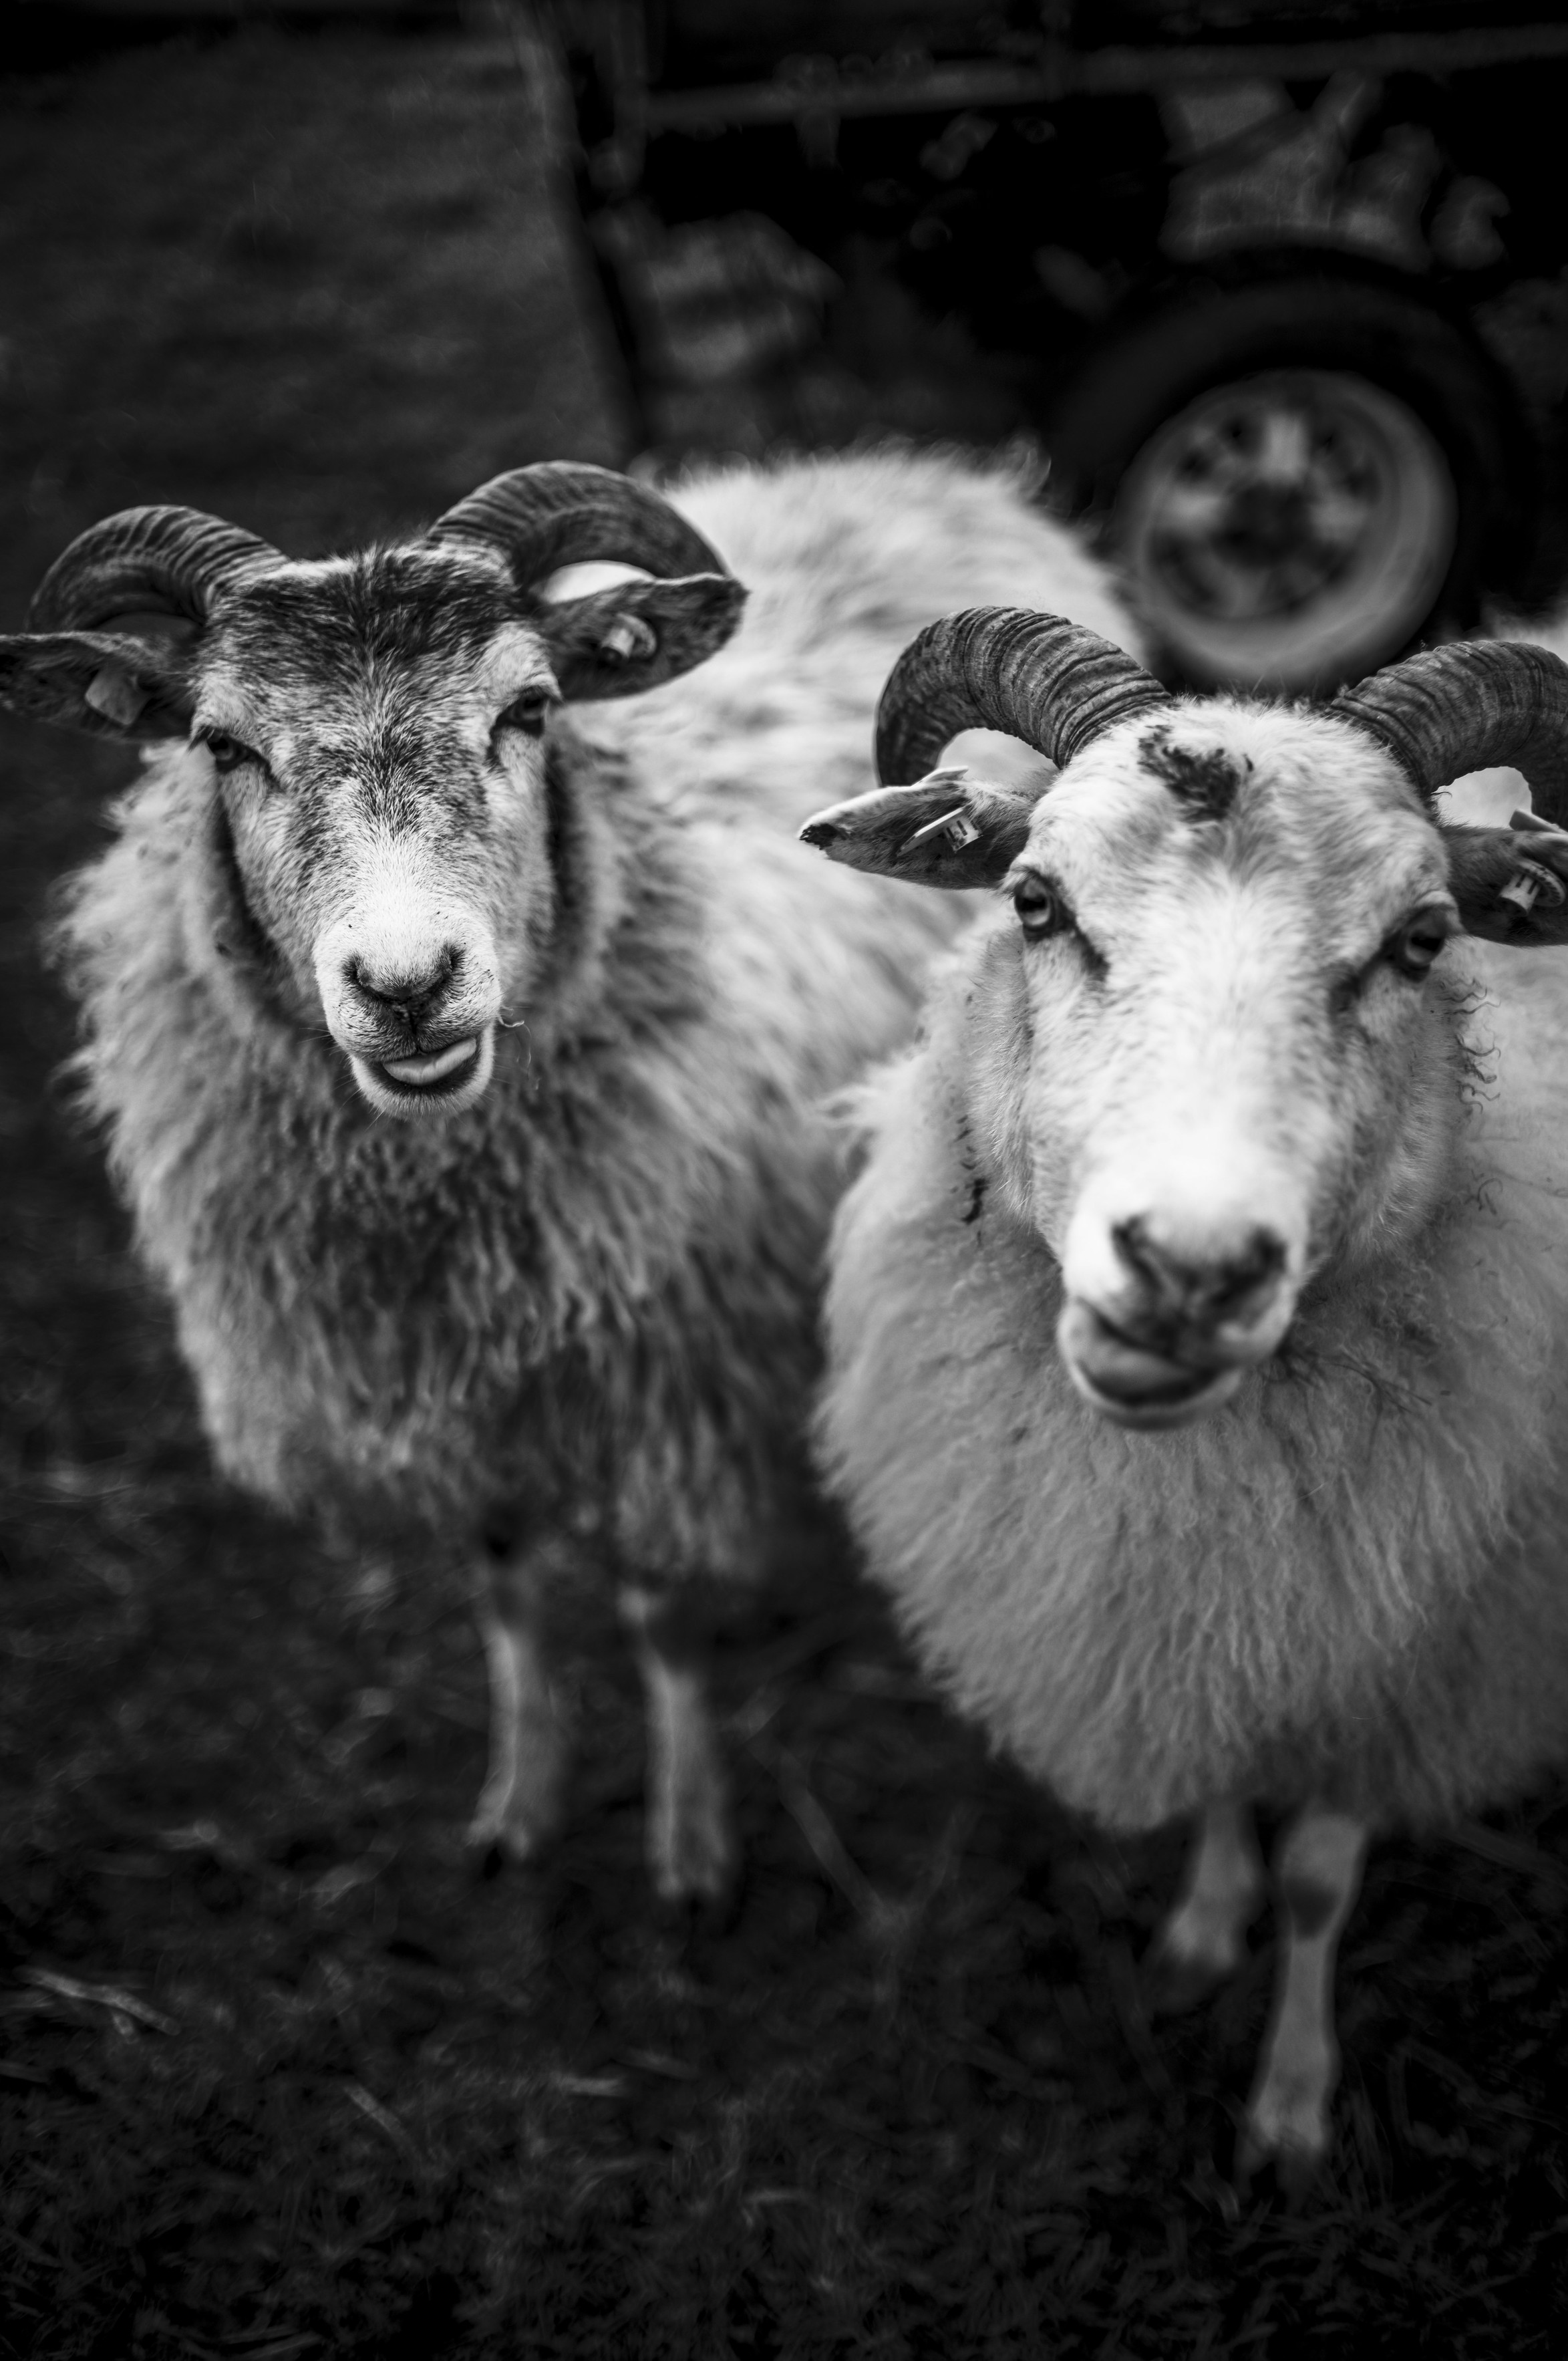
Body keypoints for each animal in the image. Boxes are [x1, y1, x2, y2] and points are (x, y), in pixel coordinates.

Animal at [0, 449, 1136, 1905]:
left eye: (530, 709)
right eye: (222, 746)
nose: (406, 987)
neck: (444, 1210)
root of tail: (917, 470)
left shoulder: (677, 1380)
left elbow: (663, 1619)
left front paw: (691, 1845)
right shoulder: (463, 1396)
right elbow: (506, 1588)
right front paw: (517, 1803)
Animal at [799, 607, 1568, 2185]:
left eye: (1422, 940)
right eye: (1033, 901)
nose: (1189, 1268)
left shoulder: (1407, 1669)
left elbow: (1322, 1881)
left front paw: (1289, 2103)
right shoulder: (1199, 1608)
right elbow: (1217, 1779)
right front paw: (1206, 1925)